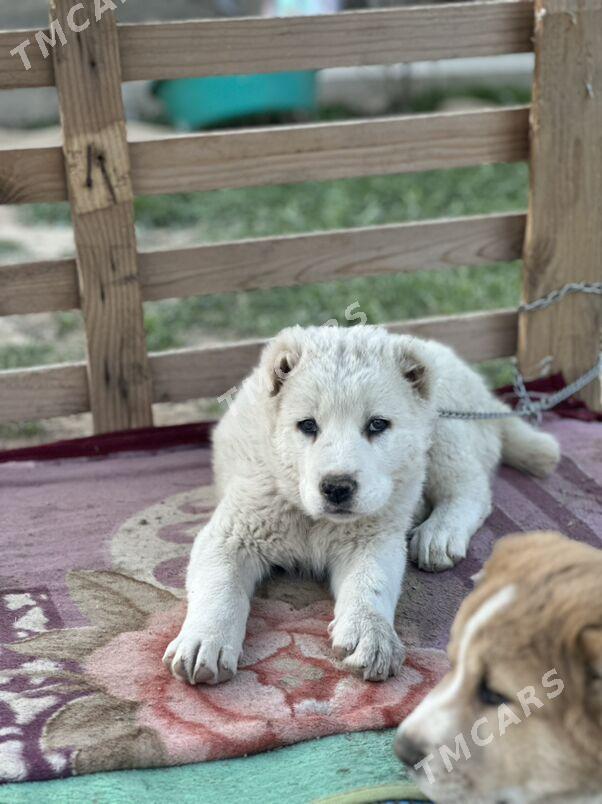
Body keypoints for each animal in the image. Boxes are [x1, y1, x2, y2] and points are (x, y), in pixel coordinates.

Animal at [162, 326, 556, 684]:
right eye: (307, 425)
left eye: (377, 424)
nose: (337, 487)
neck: (311, 518)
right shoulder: (233, 530)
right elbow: (220, 586)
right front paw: (205, 641)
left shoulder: (374, 536)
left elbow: (371, 584)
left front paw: (370, 634)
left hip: (444, 430)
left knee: (471, 488)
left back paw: (439, 534)